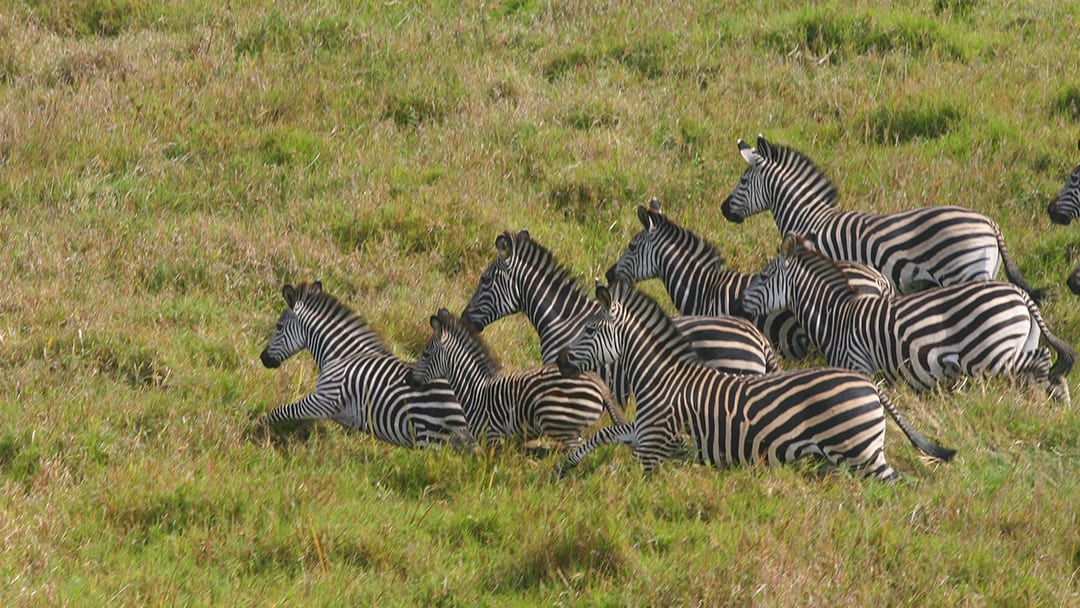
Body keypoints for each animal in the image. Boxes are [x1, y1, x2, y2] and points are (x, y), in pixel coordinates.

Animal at [258, 281, 473, 448]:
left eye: (279, 326)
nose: (263, 358)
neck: (340, 355)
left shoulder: (324, 400)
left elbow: (282, 411)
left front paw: (258, 428)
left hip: (431, 437)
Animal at [406, 308, 608, 450]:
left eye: (426, 354)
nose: (409, 380)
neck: (475, 390)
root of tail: (597, 383)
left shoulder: (491, 436)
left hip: (561, 424)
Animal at [554, 280, 956, 480]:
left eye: (589, 329)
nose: (559, 360)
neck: (659, 376)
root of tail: (869, 384)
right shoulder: (646, 430)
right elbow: (608, 432)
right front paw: (565, 467)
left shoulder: (654, 444)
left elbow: (640, 477)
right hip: (852, 453)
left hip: (860, 451)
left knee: (894, 484)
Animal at [721, 134, 1043, 301]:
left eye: (743, 181)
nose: (723, 209)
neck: (808, 218)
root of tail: (989, 222)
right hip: (984, 271)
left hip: (965, 272)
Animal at [741, 235, 1075, 402]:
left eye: (764, 276)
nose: (742, 302)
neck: (835, 317)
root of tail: (1019, 294)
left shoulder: (859, 364)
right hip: (1018, 343)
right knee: (1040, 368)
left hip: (994, 352)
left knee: (1042, 360)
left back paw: (1041, 403)